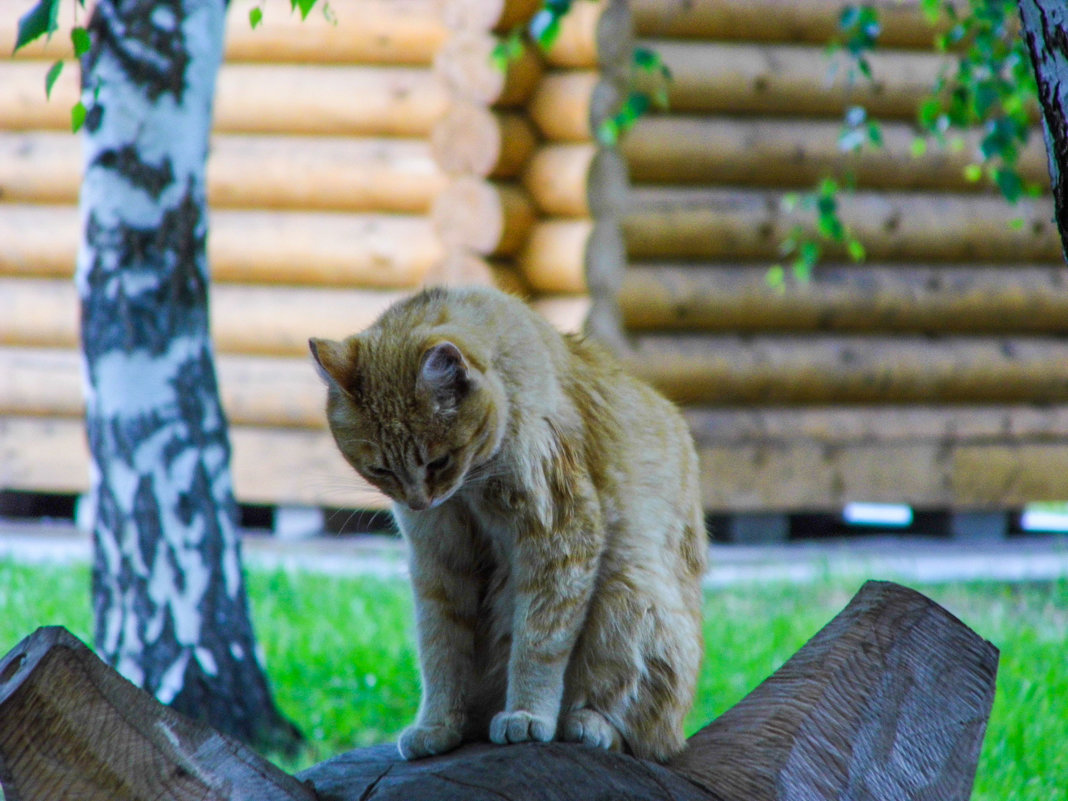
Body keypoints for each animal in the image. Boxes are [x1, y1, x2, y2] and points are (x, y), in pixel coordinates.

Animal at [309, 288, 704, 764]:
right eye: (380, 469)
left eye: (438, 461)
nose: (420, 502)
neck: (468, 490)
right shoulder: (439, 563)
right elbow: (441, 650)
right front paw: (438, 725)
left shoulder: (560, 537)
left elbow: (538, 642)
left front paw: (527, 714)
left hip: (628, 590)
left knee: (645, 736)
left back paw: (590, 724)